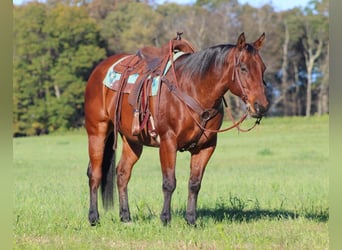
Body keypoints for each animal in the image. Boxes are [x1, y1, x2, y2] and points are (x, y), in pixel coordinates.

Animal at [83, 32, 270, 226]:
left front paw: (191, 219)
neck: (193, 88)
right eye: (243, 68)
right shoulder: (168, 142)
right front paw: (165, 219)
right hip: (97, 131)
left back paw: (126, 217)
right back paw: (94, 217)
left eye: (262, 68)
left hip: (133, 140)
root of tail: (100, 69)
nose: (261, 106)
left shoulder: (206, 147)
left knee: (122, 173)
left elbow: (194, 183)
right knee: (95, 174)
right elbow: (169, 182)